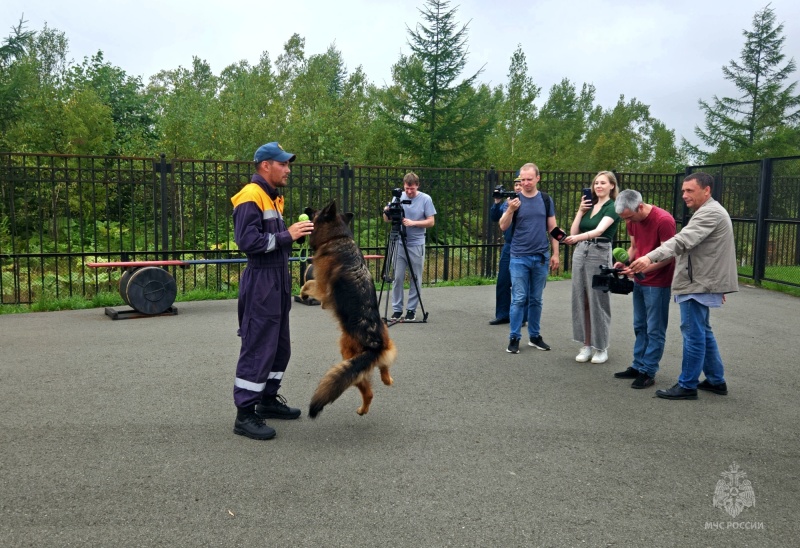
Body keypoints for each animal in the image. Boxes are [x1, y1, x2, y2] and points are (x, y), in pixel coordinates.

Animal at [300, 203, 396, 418]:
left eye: (317, 211)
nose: (307, 207)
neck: (337, 237)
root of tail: (375, 343)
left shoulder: (321, 288)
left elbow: (308, 283)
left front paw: (303, 294)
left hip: (347, 357)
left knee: (368, 392)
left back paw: (363, 409)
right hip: (387, 344)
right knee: (384, 368)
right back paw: (387, 379)